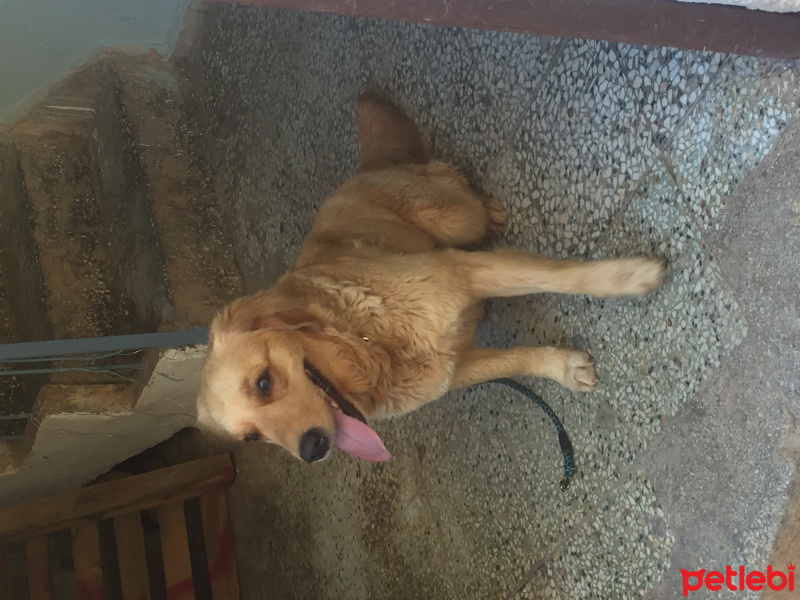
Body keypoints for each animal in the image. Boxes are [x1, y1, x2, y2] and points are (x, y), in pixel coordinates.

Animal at [197, 91, 664, 462]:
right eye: (252, 437)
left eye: (262, 382)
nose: (312, 450)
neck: (372, 344)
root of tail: (363, 168)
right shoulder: (452, 370)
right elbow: (514, 358)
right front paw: (561, 367)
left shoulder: (465, 270)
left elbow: (566, 276)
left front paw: (630, 275)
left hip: (454, 219)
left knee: (448, 175)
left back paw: (489, 207)